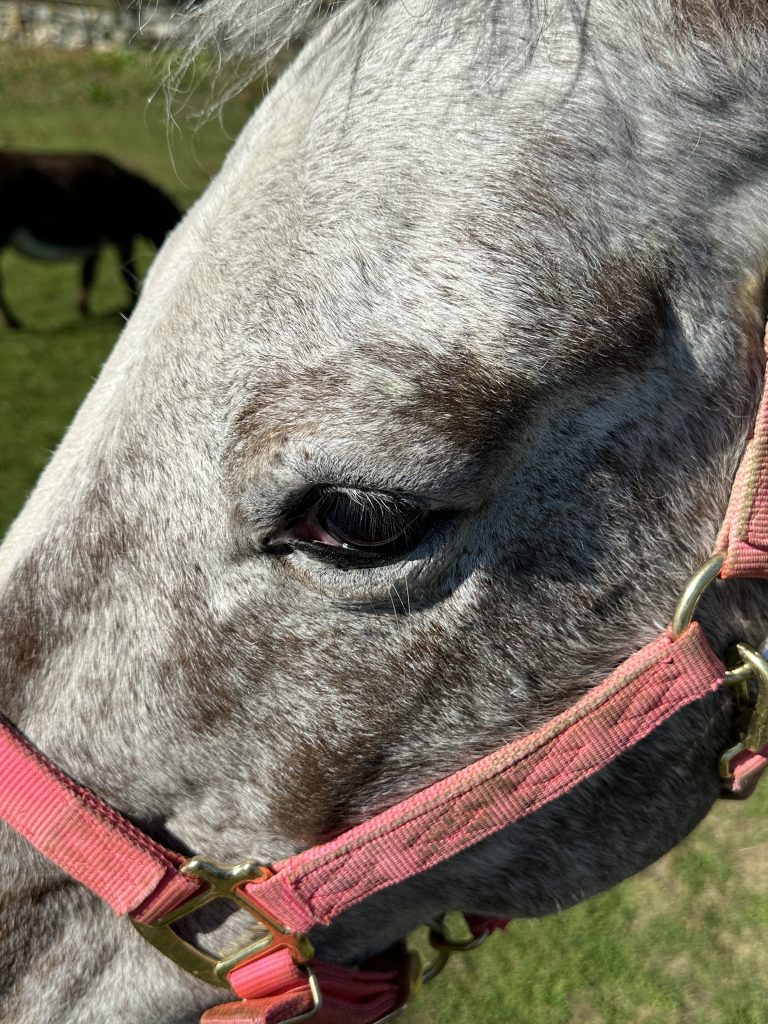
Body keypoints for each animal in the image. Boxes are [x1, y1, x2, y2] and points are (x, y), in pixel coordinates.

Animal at [0, 150, 181, 328]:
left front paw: (83, 309)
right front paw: (134, 306)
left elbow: (88, 274)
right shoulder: (121, 236)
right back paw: (12, 323)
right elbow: (127, 272)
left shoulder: (95, 245)